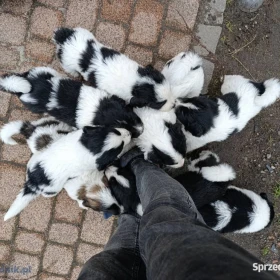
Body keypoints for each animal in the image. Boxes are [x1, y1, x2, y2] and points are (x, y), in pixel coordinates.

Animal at [0, 67, 143, 139]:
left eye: (131, 115)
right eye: (123, 129)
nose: (142, 130)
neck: (99, 109)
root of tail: (25, 84)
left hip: (44, 70)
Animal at [3, 123, 131, 220]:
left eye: (116, 130)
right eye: (120, 146)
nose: (130, 133)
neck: (85, 147)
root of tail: (34, 181)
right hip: (53, 188)